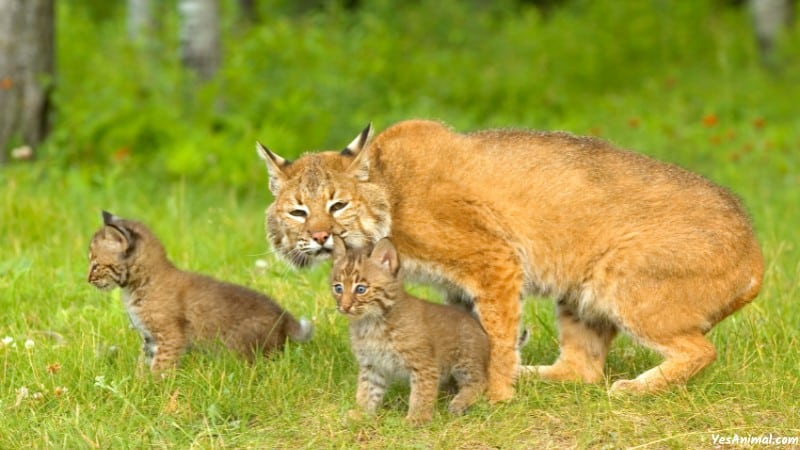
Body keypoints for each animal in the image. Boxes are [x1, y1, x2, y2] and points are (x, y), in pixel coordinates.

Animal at [86, 211, 312, 372]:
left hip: (240, 347)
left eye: (96, 266)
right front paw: (138, 385)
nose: (88, 280)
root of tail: (283, 315)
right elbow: (144, 363)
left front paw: (155, 389)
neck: (136, 286)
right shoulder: (149, 338)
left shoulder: (170, 336)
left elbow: (160, 366)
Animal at [330, 236, 488, 426]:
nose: (344, 307)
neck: (371, 322)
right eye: (338, 288)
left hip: (466, 360)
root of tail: (472, 319)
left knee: (480, 381)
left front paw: (416, 419)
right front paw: (362, 413)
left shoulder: (424, 365)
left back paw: (459, 403)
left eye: (361, 289)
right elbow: (367, 389)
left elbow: (421, 393)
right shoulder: (372, 364)